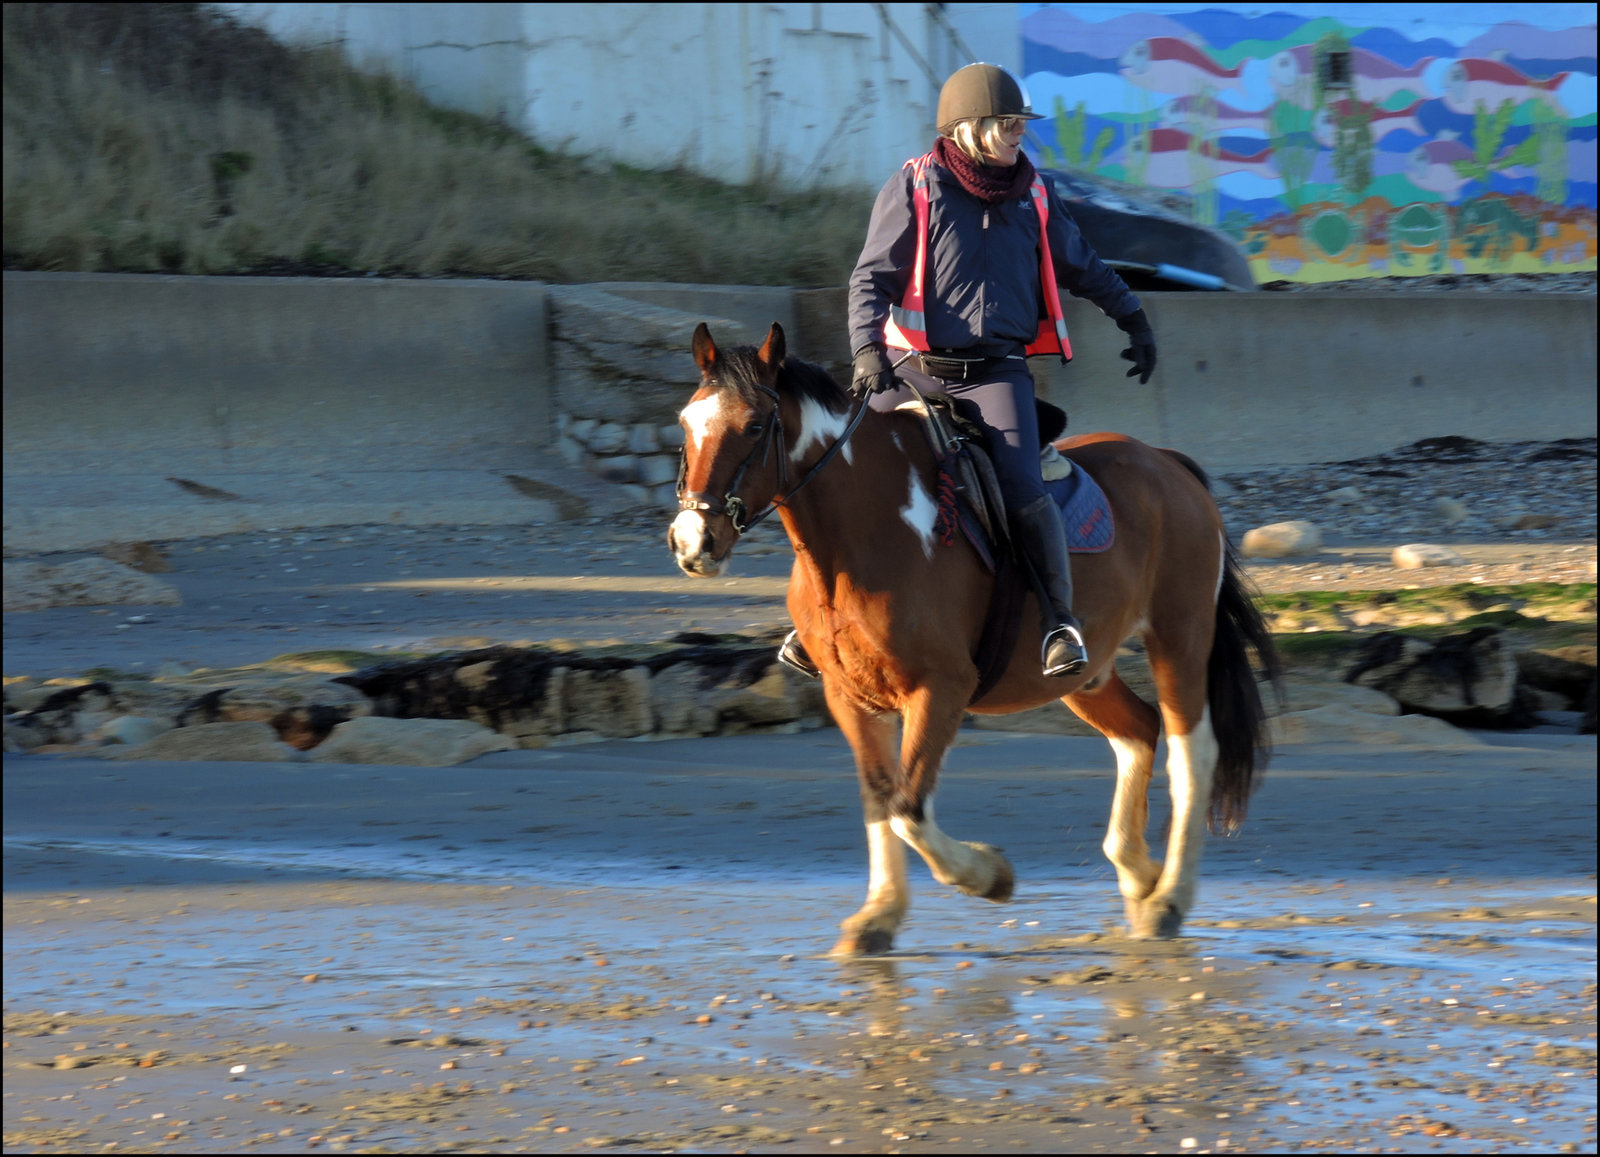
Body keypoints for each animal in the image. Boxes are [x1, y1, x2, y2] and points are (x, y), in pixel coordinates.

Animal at [662, 321, 1273, 953]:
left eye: (756, 426)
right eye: (685, 422)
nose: (692, 540)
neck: (865, 528)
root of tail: (1166, 463)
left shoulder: (941, 688)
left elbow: (908, 808)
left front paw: (987, 875)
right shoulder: (849, 695)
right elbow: (880, 799)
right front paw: (880, 913)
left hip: (1180, 637)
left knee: (1192, 755)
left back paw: (1169, 897)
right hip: (1084, 673)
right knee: (1138, 732)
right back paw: (1139, 871)